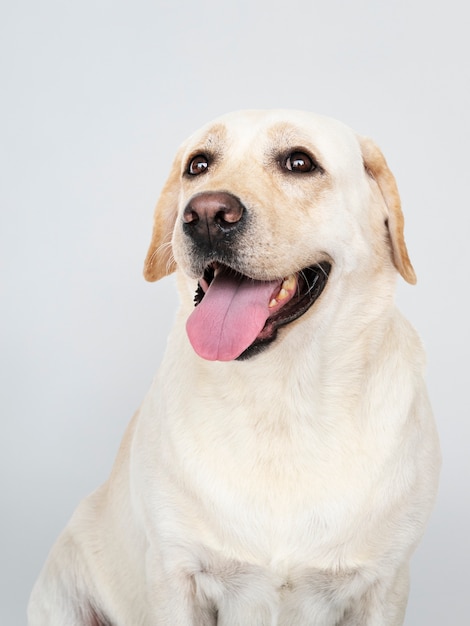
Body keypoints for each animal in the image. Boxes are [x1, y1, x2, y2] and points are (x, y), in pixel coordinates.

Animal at [28, 109, 440, 620]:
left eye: (300, 162)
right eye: (198, 165)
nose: (205, 215)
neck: (280, 400)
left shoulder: (384, 583)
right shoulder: (175, 574)